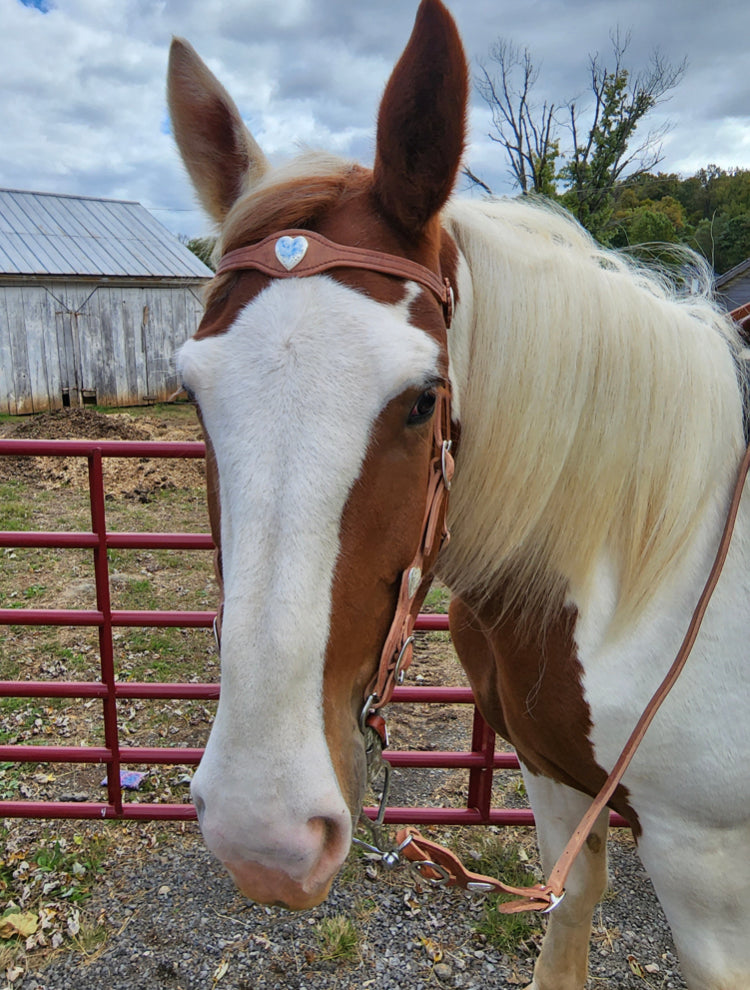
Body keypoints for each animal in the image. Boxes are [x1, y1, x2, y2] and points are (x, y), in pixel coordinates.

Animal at [169, 3, 750, 988]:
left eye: (422, 400)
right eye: (192, 394)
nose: (265, 834)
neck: (646, 570)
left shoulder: (705, 871)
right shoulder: (554, 782)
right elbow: (568, 920)